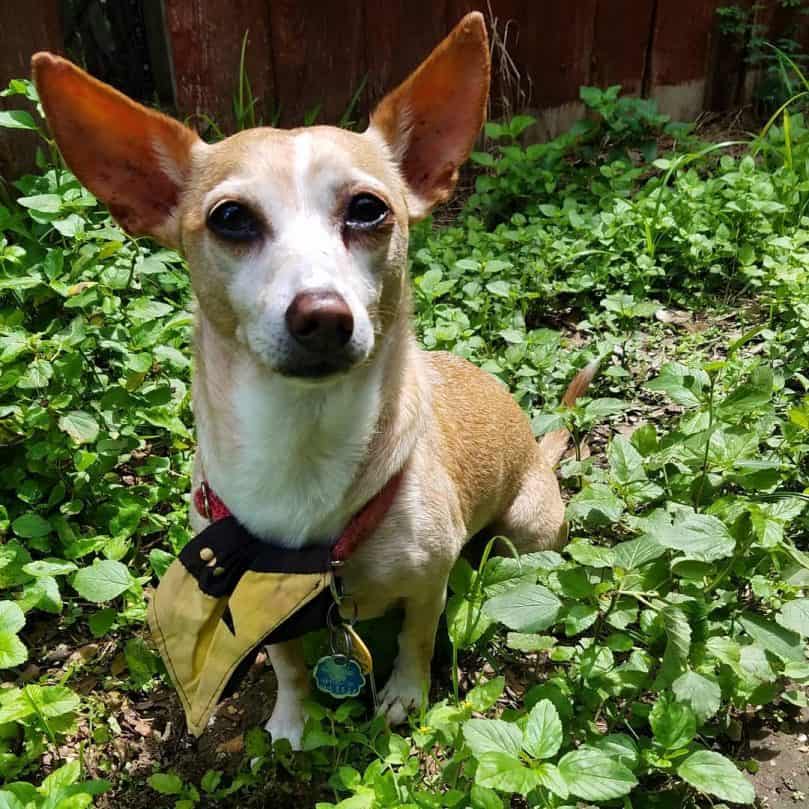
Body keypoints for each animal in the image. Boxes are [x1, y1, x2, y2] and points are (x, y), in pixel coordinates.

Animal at [33, 12, 592, 748]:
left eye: (368, 209)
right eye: (230, 218)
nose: (322, 315)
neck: (302, 445)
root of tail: (537, 450)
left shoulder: (429, 584)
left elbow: (416, 639)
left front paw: (404, 696)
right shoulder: (256, 599)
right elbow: (290, 664)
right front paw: (290, 721)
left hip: (523, 531)